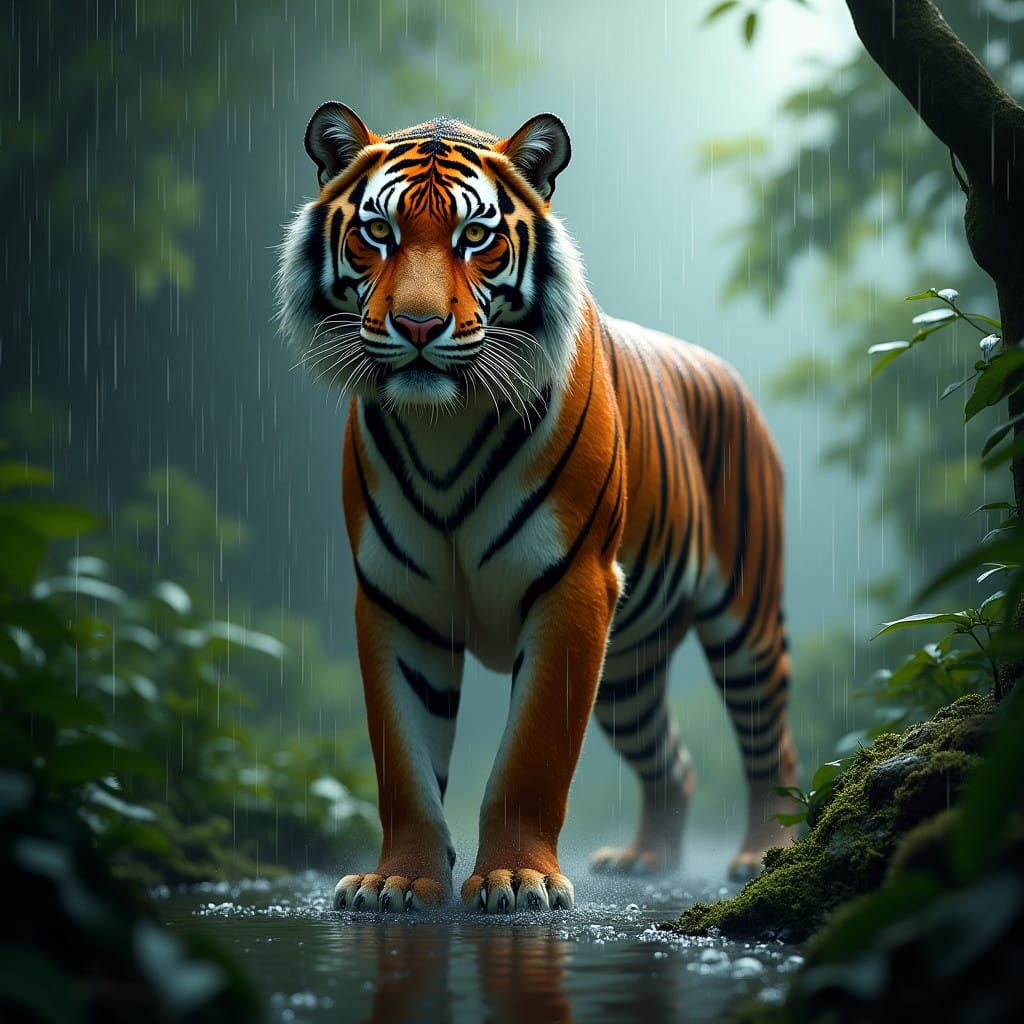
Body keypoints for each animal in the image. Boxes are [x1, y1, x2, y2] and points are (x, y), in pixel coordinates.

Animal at [277, 103, 798, 913]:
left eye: (475, 237)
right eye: (378, 232)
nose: (418, 326)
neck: (444, 421)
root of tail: (728, 374)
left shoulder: (573, 587)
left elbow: (533, 756)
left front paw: (518, 879)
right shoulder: (397, 599)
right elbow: (404, 761)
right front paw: (397, 881)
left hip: (744, 618)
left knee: (771, 739)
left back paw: (762, 853)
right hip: (629, 669)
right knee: (672, 761)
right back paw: (646, 858)